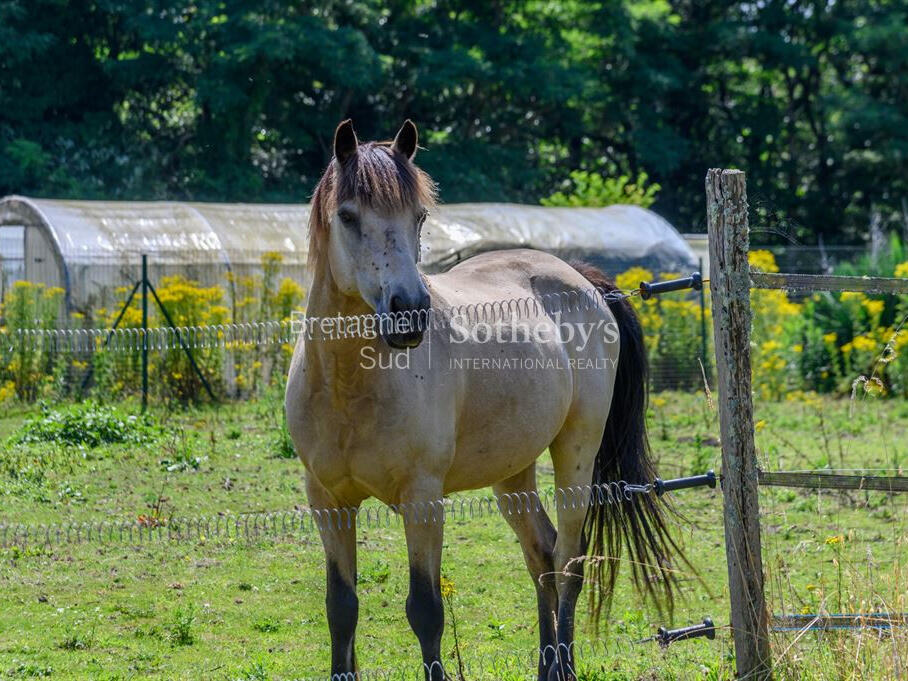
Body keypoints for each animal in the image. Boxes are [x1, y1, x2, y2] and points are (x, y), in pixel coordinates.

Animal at [286, 121, 680, 680]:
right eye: (347, 215)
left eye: (419, 215)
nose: (409, 312)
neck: (349, 386)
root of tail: (582, 281)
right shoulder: (328, 501)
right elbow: (341, 609)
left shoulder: (422, 499)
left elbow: (425, 611)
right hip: (512, 471)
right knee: (542, 556)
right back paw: (546, 667)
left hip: (576, 454)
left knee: (569, 562)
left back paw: (566, 667)